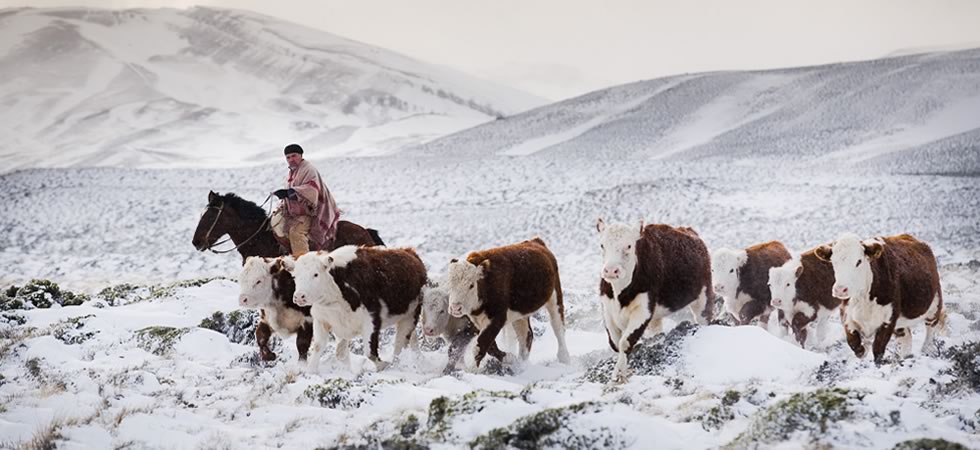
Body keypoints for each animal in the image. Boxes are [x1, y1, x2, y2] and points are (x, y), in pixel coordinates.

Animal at [290, 244, 430, 370]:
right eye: (295, 276)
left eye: (315, 274)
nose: (299, 296)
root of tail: (409, 251)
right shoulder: (323, 320)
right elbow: (323, 348)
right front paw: (311, 372)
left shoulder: (371, 319)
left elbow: (370, 353)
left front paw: (383, 365)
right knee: (412, 338)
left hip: (411, 315)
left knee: (400, 344)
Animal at [442, 236, 568, 370]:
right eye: (449, 284)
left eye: (471, 285)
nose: (455, 308)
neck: (486, 283)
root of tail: (536, 241)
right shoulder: (477, 321)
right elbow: (489, 346)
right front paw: (509, 358)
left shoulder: (497, 318)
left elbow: (480, 346)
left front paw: (472, 370)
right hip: (520, 314)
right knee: (526, 335)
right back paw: (521, 364)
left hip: (555, 298)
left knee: (558, 327)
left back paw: (564, 358)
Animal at [592, 220, 716, 382]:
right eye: (602, 245)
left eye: (629, 246)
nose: (611, 270)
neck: (620, 295)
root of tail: (687, 230)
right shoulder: (607, 308)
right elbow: (615, 341)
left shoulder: (644, 309)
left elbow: (625, 342)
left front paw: (619, 373)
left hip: (703, 296)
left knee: (704, 317)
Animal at [816, 234, 944, 364]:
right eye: (834, 262)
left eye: (859, 261)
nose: (840, 289)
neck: (864, 298)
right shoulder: (847, 314)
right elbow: (854, 344)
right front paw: (864, 348)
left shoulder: (889, 318)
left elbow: (878, 349)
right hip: (901, 323)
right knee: (905, 337)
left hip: (935, 304)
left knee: (931, 328)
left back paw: (927, 349)